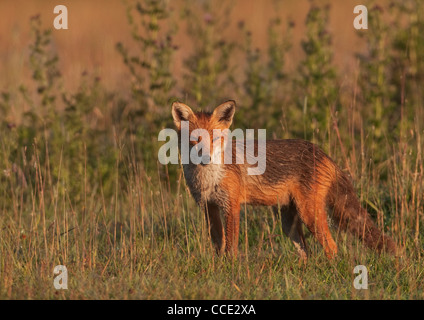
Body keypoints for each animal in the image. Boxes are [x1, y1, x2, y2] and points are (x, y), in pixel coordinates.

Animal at [171, 100, 396, 260]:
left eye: (216, 139)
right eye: (194, 140)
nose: (205, 158)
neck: (207, 179)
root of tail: (323, 153)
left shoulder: (231, 206)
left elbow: (231, 245)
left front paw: (230, 269)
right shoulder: (209, 206)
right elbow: (218, 242)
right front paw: (219, 268)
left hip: (309, 214)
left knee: (332, 247)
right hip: (289, 223)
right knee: (307, 252)